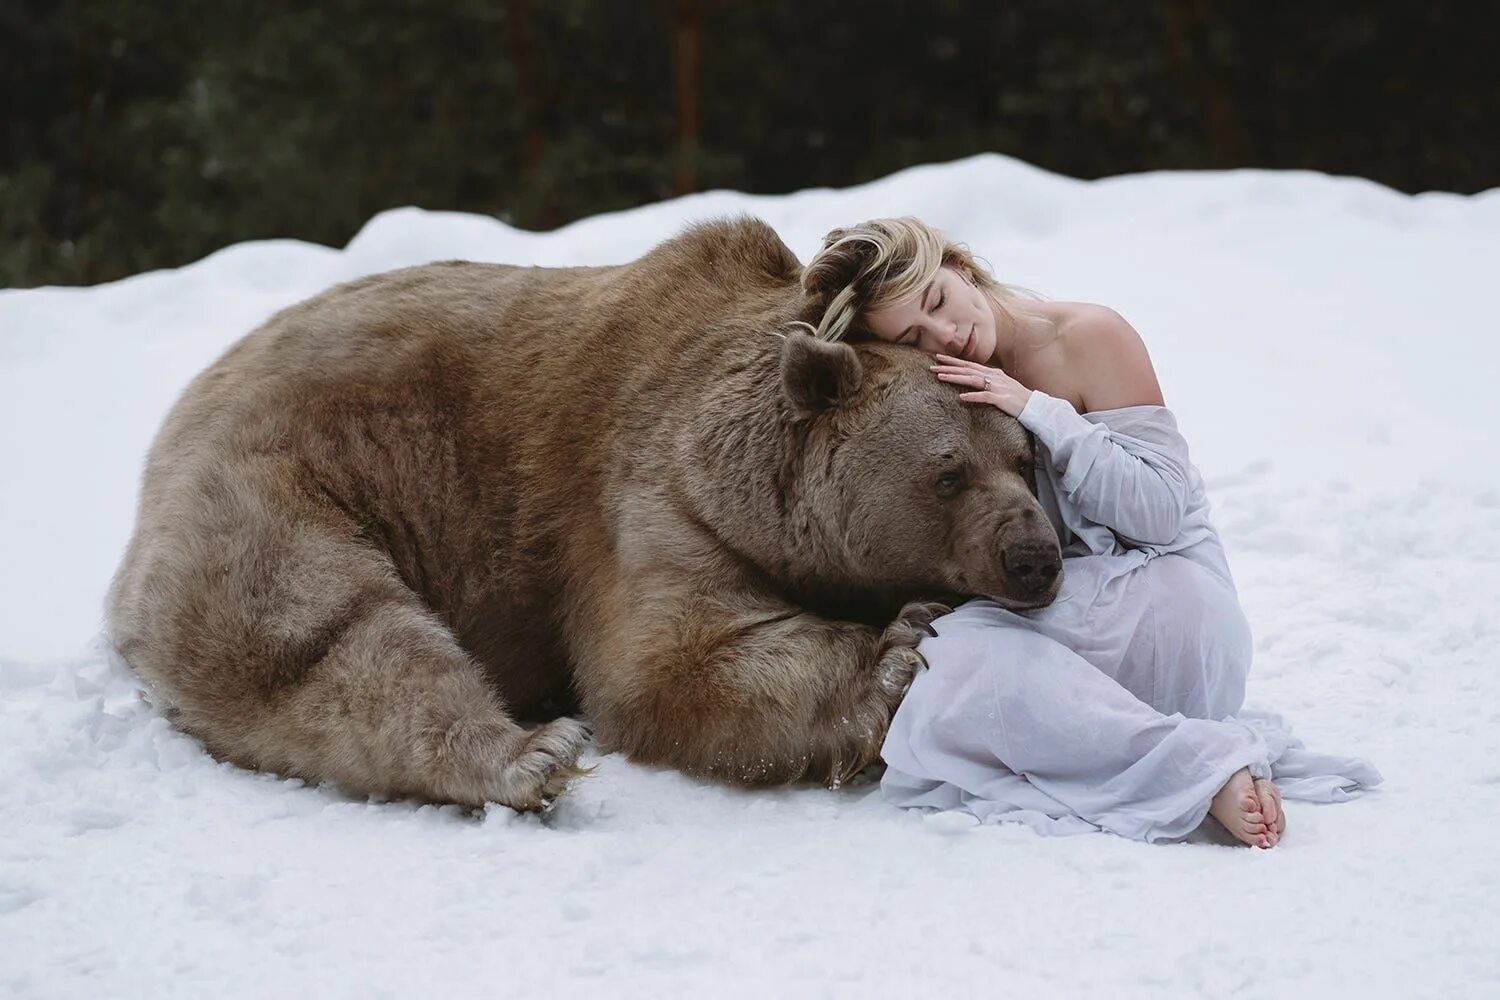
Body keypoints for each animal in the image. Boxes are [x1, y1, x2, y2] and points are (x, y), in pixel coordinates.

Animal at [105, 220, 1062, 815]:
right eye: (948, 472)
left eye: (1024, 460)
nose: (1034, 556)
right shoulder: (642, 498)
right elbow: (675, 662)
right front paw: (900, 647)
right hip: (281, 486)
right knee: (328, 632)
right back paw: (526, 755)